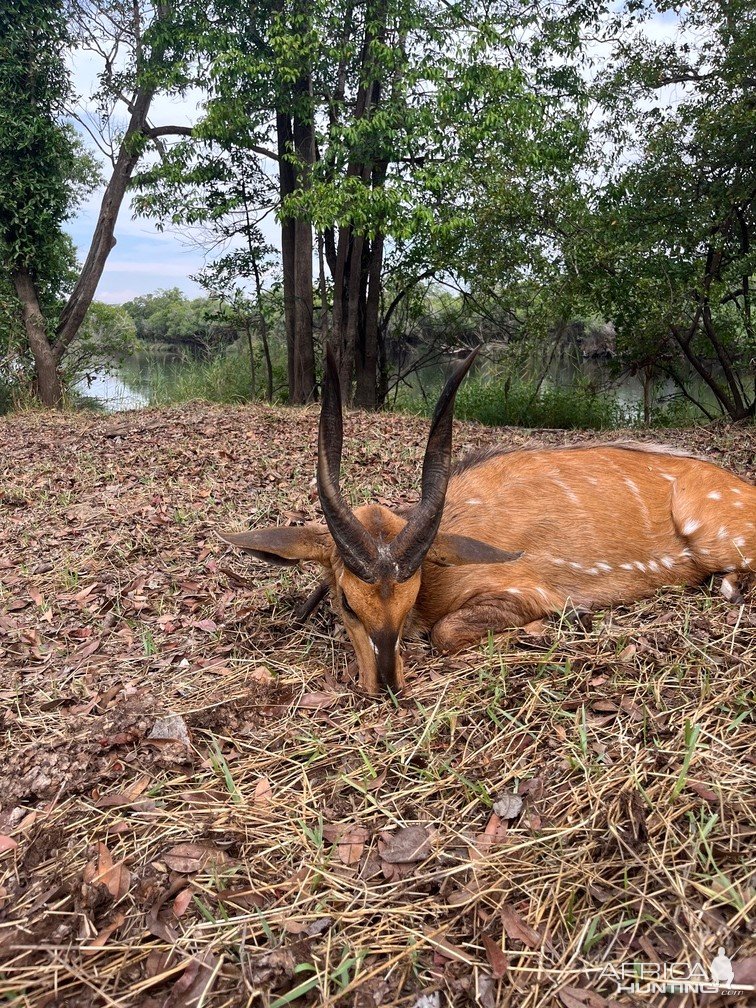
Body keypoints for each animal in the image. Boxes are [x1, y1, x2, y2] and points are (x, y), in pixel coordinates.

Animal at [221, 346, 753, 693]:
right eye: (347, 604)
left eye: (411, 594)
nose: (387, 685)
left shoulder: (525, 589)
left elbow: (445, 633)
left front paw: (558, 624)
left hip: (712, 532)